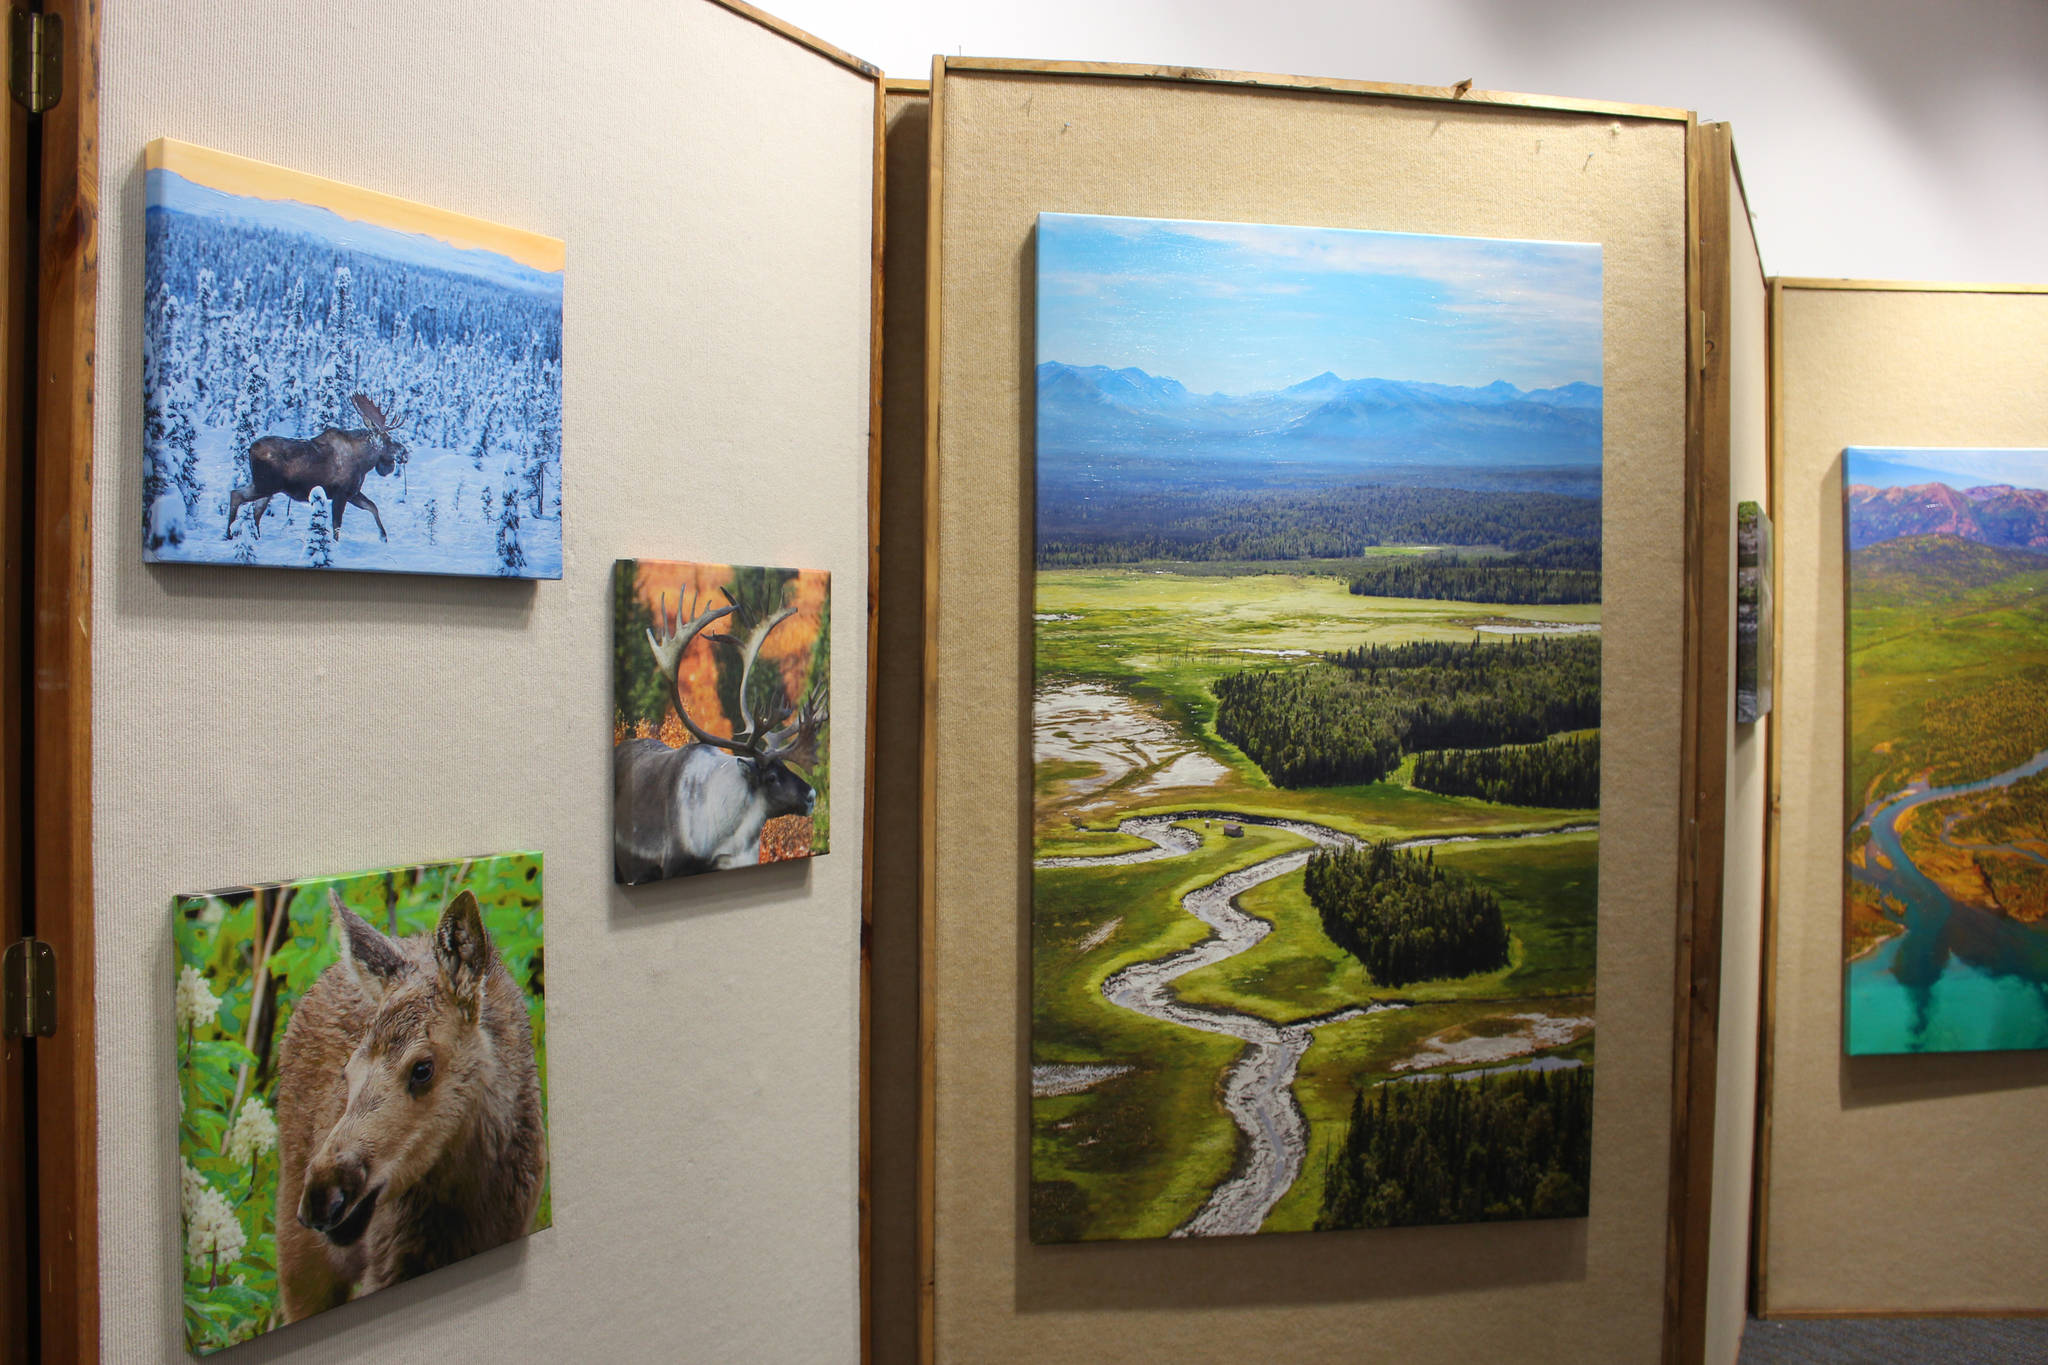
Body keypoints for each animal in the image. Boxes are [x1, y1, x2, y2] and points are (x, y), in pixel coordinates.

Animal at [228, 392, 407, 540]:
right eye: (388, 439)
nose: (405, 452)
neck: (364, 463)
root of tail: (250, 448)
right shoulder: (340, 493)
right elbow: (336, 525)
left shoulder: (353, 493)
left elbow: (373, 507)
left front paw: (383, 537)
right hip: (265, 484)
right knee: (236, 495)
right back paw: (230, 533)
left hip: (267, 488)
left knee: (255, 511)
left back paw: (255, 538)